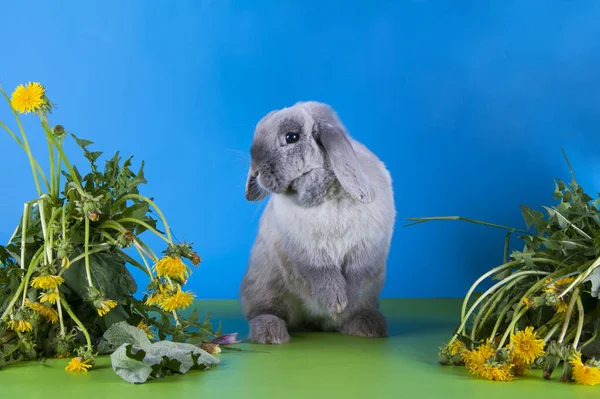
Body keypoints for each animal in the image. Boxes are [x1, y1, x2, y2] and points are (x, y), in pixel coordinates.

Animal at [239, 101, 398, 344]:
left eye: (291, 137)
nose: (256, 171)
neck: (327, 192)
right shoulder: (305, 251)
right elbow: (321, 272)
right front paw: (335, 302)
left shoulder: (366, 248)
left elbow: (356, 274)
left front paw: (345, 304)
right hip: (265, 285)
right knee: (265, 311)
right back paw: (271, 333)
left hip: (370, 295)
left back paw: (366, 326)